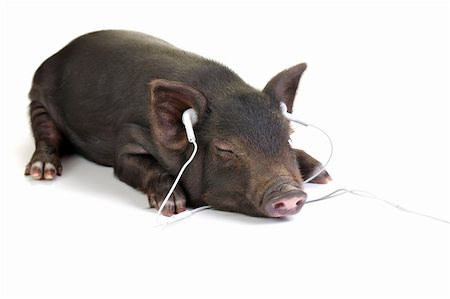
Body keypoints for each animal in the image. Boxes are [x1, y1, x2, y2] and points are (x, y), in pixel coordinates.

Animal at [25, 29, 330, 218]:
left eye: (287, 138)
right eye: (225, 149)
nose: (289, 192)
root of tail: (60, 51)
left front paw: (324, 175)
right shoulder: (127, 142)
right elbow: (137, 165)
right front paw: (173, 206)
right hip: (38, 100)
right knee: (45, 134)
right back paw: (43, 172)